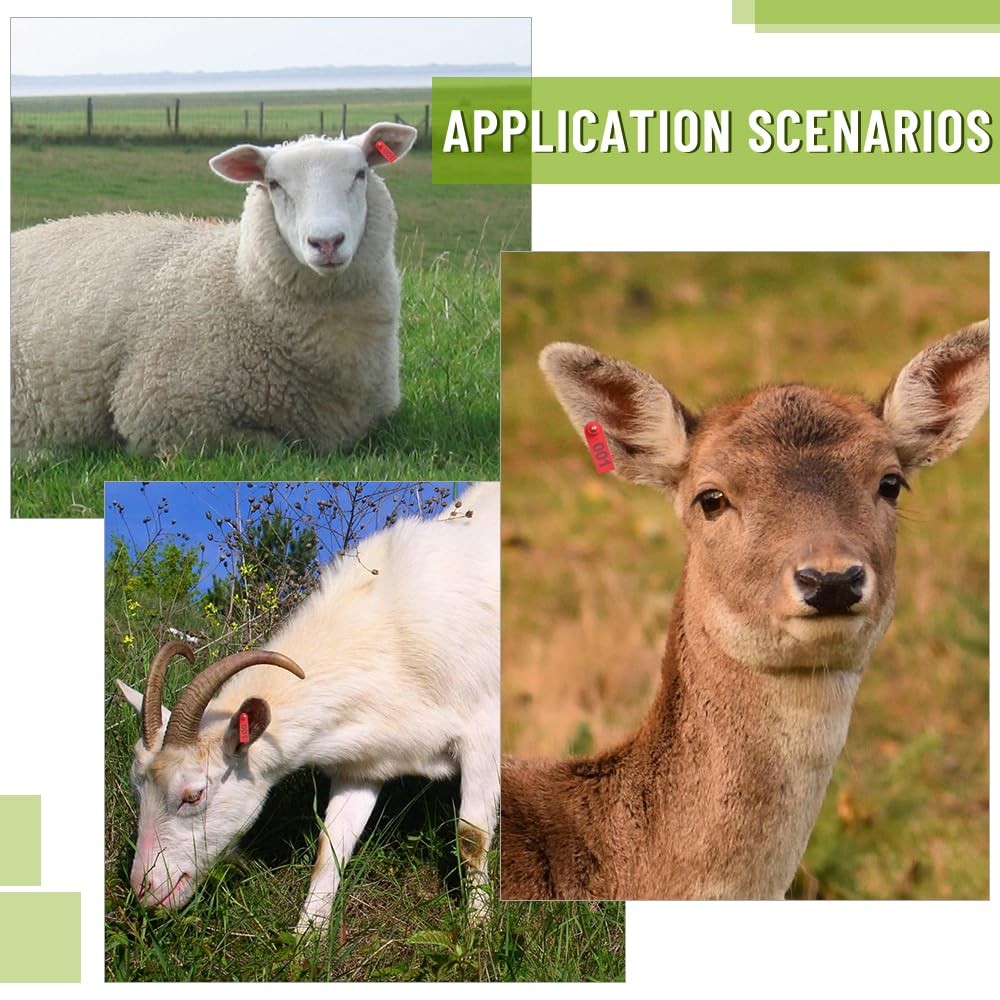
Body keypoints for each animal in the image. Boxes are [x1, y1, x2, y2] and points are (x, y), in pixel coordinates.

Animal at [12, 122, 417, 455]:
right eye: (274, 184)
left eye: (360, 173)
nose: (327, 241)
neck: (239, 287)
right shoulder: (166, 414)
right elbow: (274, 448)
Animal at [114, 482, 499, 933]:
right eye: (136, 787)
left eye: (193, 795)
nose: (145, 889)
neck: (387, 635)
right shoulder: (364, 764)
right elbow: (329, 848)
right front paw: (306, 938)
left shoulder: (483, 738)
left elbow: (471, 838)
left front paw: (479, 932)